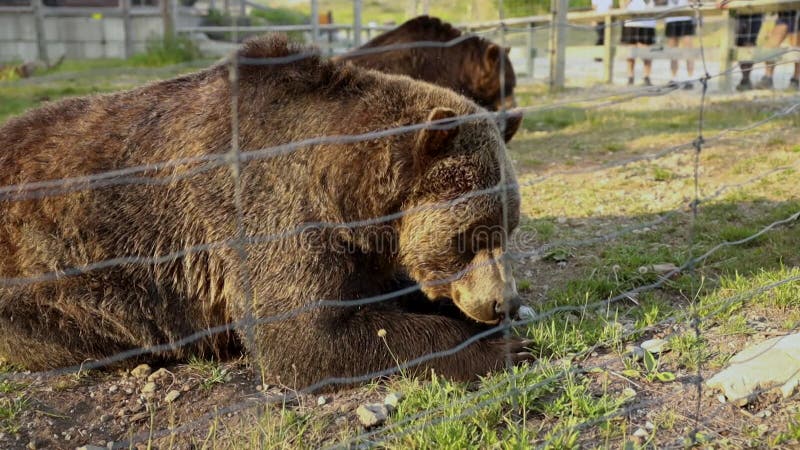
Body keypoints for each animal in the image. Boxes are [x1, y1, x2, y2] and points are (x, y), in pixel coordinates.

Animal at [0, 34, 532, 390]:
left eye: (508, 228)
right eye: (472, 234)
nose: (502, 302)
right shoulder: (265, 210)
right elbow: (306, 335)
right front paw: (499, 347)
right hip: (51, 282)